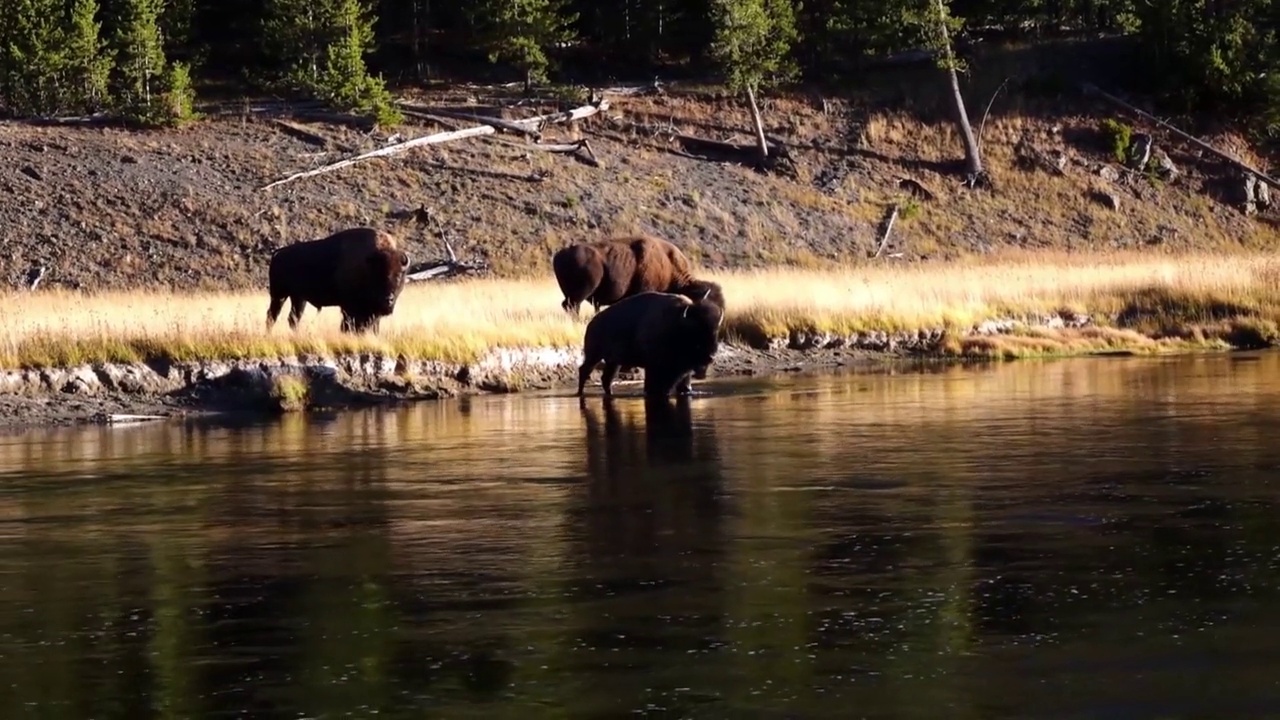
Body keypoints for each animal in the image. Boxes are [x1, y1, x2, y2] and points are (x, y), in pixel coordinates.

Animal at [264, 224, 409, 333]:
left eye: (399, 275)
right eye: (378, 274)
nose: (388, 300)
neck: (367, 266)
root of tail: (278, 253)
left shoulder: (371, 312)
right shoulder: (349, 307)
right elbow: (348, 325)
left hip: (298, 298)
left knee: (293, 319)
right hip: (279, 295)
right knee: (272, 316)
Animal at [578, 286, 727, 397]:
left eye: (716, 332)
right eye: (695, 334)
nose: (710, 357)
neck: (677, 324)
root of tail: (591, 324)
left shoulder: (683, 370)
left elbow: (683, 384)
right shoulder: (654, 367)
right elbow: (653, 385)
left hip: (614, 362)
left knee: (606, 379)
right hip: (594, 356)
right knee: (584, 370)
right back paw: (580, 393)